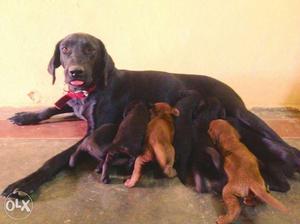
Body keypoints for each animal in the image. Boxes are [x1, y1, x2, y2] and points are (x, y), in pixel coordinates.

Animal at [2, 32, 300, 197]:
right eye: (65, 49)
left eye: (91, 50)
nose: (76, 72)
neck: (90, 91)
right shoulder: (74, 105)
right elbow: (54, 106)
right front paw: (26, 116)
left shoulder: (96, 129)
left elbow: (57, 158)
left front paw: (25, 183)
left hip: (244, 114)